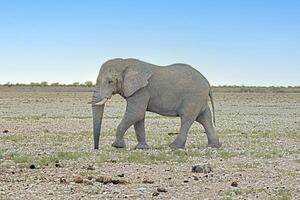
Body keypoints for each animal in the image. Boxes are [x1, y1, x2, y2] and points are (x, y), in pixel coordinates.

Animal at [89, 57, 220, 149]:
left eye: (110, 82)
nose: (96, 148)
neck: (124, 63)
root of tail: (208, 83)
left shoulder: (142, 89)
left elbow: (135, 114)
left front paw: (117, 146)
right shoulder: (138, 90)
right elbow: (139, 117)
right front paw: (142, 148)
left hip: (193, 98)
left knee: (187, 118)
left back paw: (174, 147)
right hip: (199, 99)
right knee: (204, 118)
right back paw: (213, 146)